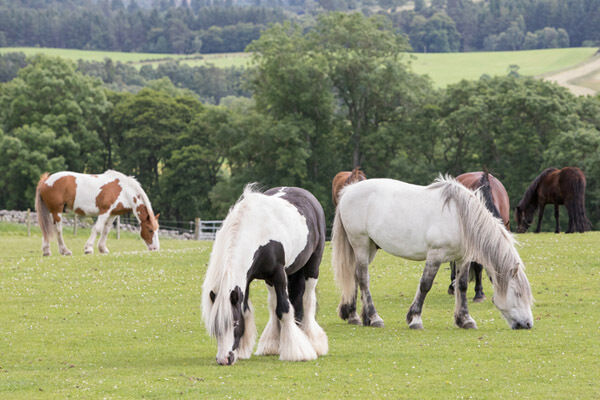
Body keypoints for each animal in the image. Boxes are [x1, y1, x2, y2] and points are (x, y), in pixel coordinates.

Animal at [204, 185, 330, 366]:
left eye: (234, 323)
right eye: (216, 327)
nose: (224, 358)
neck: (257, 231)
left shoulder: (279, 274)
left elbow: (284, 309)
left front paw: (295, 352)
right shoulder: (248, 279)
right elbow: (248, 310)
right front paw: (242, 350)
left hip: (312, 267)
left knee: (307, 300)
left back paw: (313, 342)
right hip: (275, 278)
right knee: (276, 303)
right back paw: (275, 344)